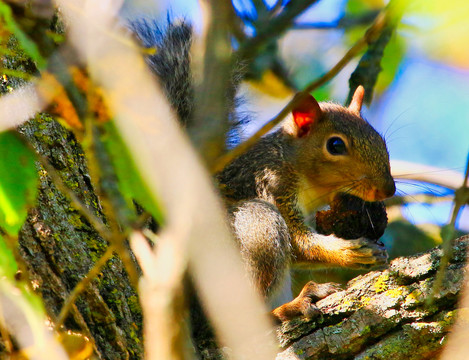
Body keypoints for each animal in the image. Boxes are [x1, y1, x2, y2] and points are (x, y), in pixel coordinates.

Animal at [131, 19, 394, 324]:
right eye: (336, 145)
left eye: (381, 140)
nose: (389, 189)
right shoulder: (270, 184)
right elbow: (300, 243)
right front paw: (350, 252)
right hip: (254, 230)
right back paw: (288, 307)